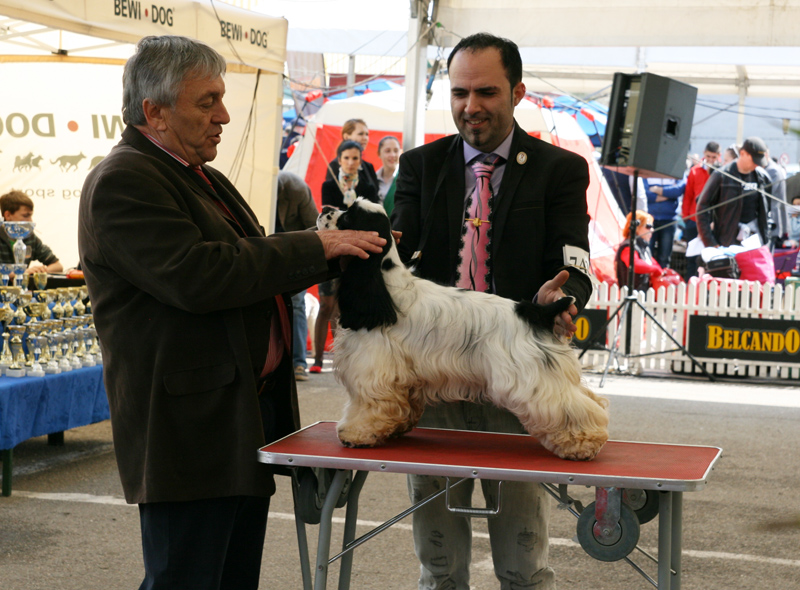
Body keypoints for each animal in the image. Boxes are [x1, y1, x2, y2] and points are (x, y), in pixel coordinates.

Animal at [317, 198, 609, 460]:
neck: (384, 284)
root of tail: (536, 312)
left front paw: (356, 434)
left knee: (571, 407)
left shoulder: (373, 369)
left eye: (347, 216)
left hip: (531, 379)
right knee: (588, 399)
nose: (325, 208)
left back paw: (583, 443)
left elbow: (367, 405)